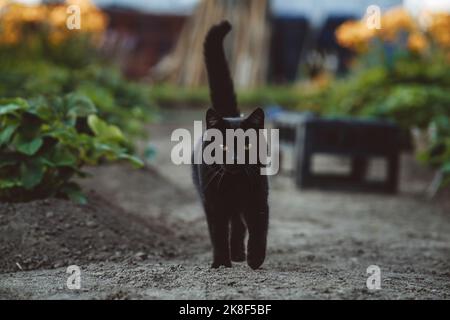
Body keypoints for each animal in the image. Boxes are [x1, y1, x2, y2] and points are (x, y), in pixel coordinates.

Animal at [192, 20, 268, 270]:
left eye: (246, 146)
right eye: (223, 148)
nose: (234, 160)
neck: (234, 185)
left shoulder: (257, 199)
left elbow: (258, 232)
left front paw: (255, 259)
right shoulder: (214, 205)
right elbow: (217, 234)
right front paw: (221, 263)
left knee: (238, 228)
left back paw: (238, 254)